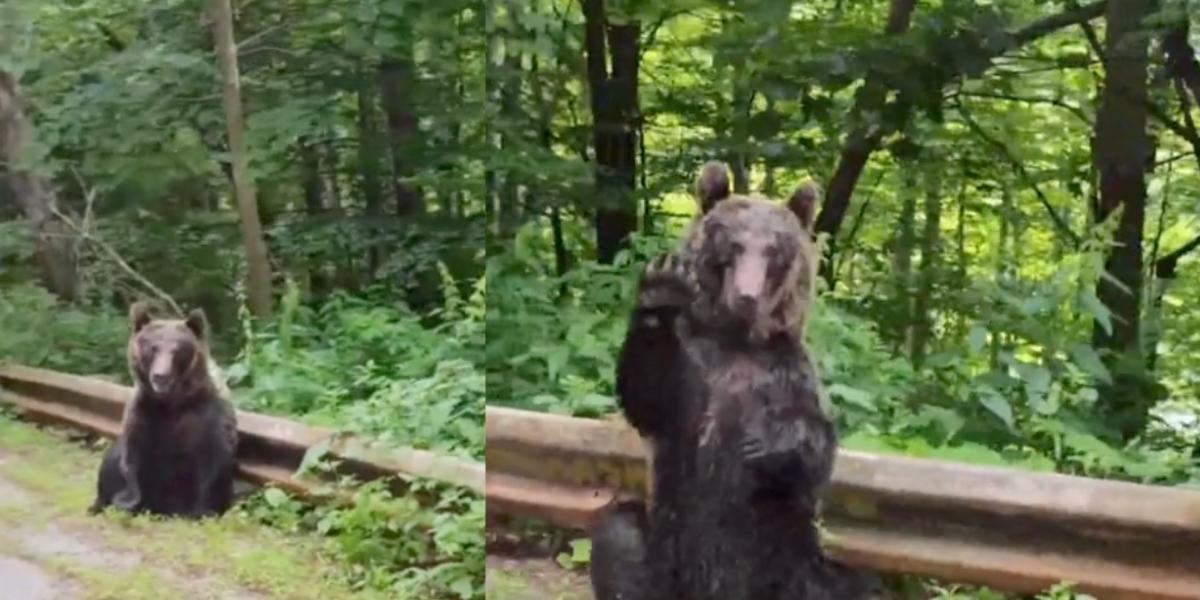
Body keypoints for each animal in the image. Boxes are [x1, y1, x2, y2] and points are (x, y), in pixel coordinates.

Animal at [89, 302, 238, 518]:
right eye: (153, 348)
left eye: (177, 349)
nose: (160, 376)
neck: (171, 402)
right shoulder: (144, 412)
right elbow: (130, 458)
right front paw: (126, 500)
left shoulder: (206, 417)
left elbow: (213, 461)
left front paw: (202, 510)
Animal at [588, 162, 878, 600]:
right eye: (735, 245)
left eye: (774, 250)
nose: (747, 296)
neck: (735, 338)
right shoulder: (690, 370)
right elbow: (647, 397)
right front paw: (661, 289)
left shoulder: (786, 371)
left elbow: (816, 446)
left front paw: (766, 440)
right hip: (665, 557)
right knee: (618, 532)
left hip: (791, 563)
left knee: (852, 583)